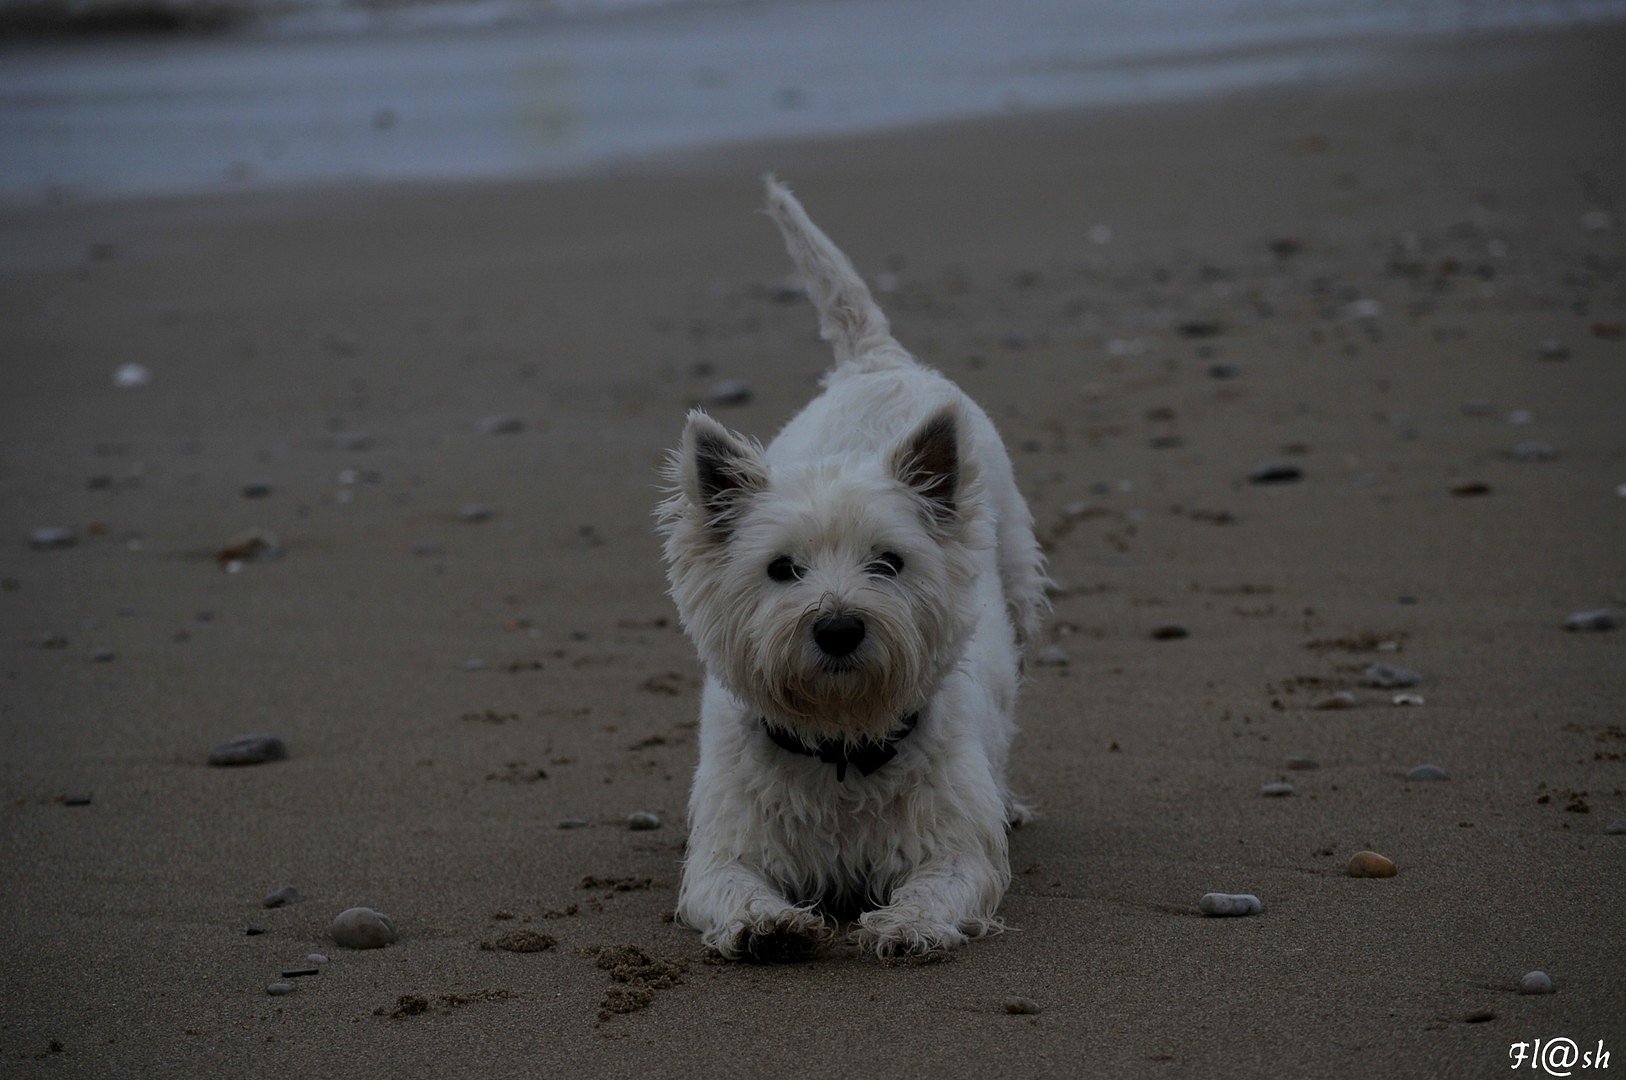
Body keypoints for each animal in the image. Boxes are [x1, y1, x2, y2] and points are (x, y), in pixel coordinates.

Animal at [660, 177, 1053, 962]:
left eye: (889, 563)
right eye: (782, 569)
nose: (838, 628)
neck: (839, 746)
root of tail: (877, 361)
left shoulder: (951, 843)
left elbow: (944, 880)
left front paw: (906, 924)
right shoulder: (729, 846)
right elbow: (730, 887)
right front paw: (770, 925)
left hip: (1020, 585)